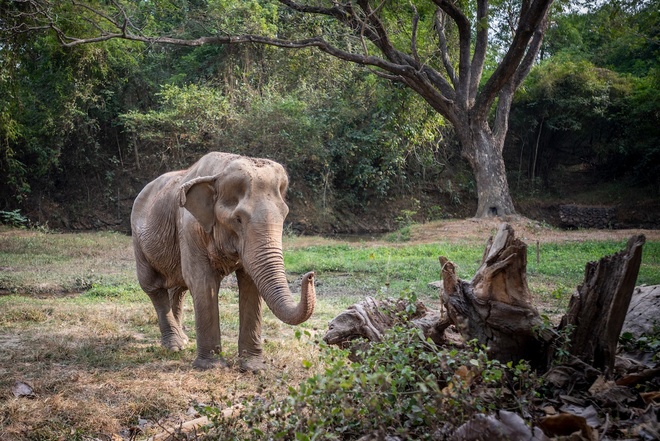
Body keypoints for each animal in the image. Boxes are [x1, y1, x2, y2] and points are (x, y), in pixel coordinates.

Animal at [131, 152, 318, 372]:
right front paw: (211, 367)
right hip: (138, 240)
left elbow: (250, 283)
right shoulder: (189, 228)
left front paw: (254, 367)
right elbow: (202, 282)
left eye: (284, 216)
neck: (219, 172)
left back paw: (183, 340)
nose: (310, 275)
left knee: (178, 288)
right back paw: (175, 346)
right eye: (238, 219)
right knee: (153, 287)